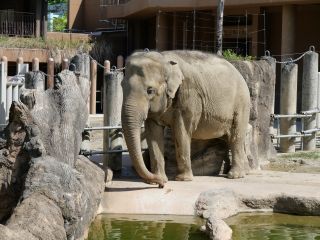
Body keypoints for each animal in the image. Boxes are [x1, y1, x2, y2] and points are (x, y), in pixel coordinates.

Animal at [121, 49, 251, 187]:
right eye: (122, 86)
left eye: (150, 90)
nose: (162, 184)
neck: (164, 59)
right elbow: (153, 133)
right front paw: (156, 180)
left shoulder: (189, 95)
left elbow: (181, 131)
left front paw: (183, 179)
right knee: (232, 138)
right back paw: (245, 171)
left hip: (242, 104)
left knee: (235, 136)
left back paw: (235, 176)